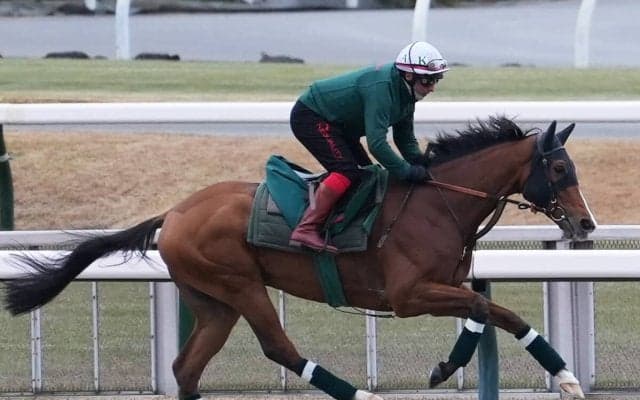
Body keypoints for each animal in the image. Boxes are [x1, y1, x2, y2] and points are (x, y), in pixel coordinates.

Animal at [3, 117, 596, 400]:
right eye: (559, 169)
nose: (586, 223)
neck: (440, 203)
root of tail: (173, 212)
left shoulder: (446, 285)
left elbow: (489, 312)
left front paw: (452, 367)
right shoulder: (408, 296)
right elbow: (493, 311)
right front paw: (561, 378)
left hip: (213, 301)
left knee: (187, 368)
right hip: (240, 284)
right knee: (279, 349)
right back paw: (361, 394)